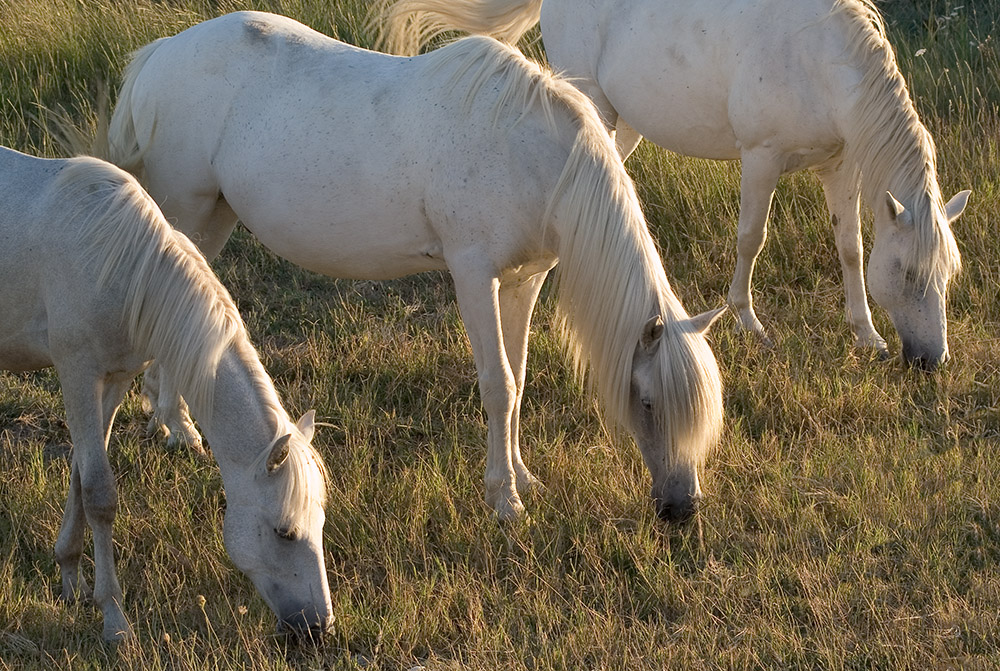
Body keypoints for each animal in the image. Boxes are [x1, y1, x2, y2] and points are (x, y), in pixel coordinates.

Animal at [0, 148, 336, 644]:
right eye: (284, 532)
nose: (317, 626)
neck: (121, 265)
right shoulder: (77, 372)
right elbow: (99, 492)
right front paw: (113, 617)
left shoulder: (114, 379)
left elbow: (80, 475)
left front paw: (70, 577)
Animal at [103, 11, 728, 524]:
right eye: (647, 402)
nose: (682, 508)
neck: (531, 153)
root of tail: (161, 52)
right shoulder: (474, 275)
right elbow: (498, 384)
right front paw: (504, 500)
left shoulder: (524, 281)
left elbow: (519, 378)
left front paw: (523, 477)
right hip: (188, 210)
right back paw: (180, 430)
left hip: (213, 218)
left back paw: (165, 420)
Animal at [378, 0, 972, 370]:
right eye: (910, 273)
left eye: (947, 275)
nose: (931, 360)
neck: (819, 60)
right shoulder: (761, 157)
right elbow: (750, 239)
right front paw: (749, 323)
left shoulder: (840, 166)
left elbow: (850, 248)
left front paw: (866, 334)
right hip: (590, 101)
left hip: (624, 121)